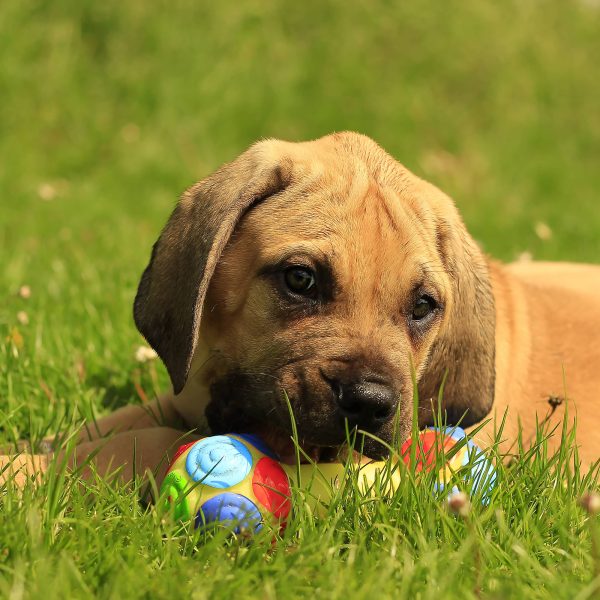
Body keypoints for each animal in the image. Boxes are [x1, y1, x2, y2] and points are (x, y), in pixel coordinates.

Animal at [3, 132, 600, 488]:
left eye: (423, 307)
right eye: (300, 279)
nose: (369, 403)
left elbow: (132, 445)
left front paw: (27, 468)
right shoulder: (181, 398)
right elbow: (109, 423)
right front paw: (37, 445)